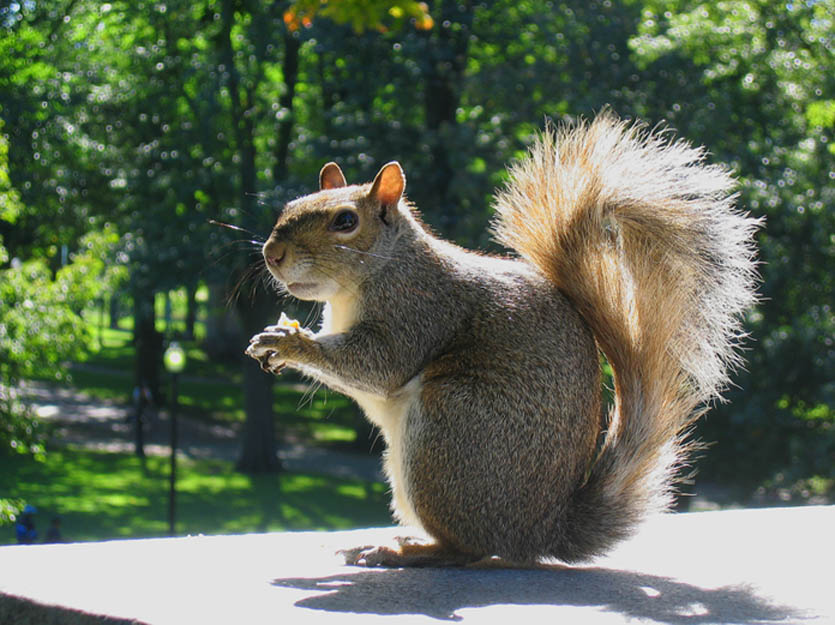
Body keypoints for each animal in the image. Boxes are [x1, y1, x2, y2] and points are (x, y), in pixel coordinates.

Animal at [245, 111, 761, 567]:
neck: (369, 278)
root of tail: (539, 531)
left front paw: (289, 343)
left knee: (468, 548)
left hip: (452, 429)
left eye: (345, 222)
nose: (272, 253)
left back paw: (404, 551)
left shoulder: (418, 310)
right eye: (288, 208)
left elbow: (378, 366)